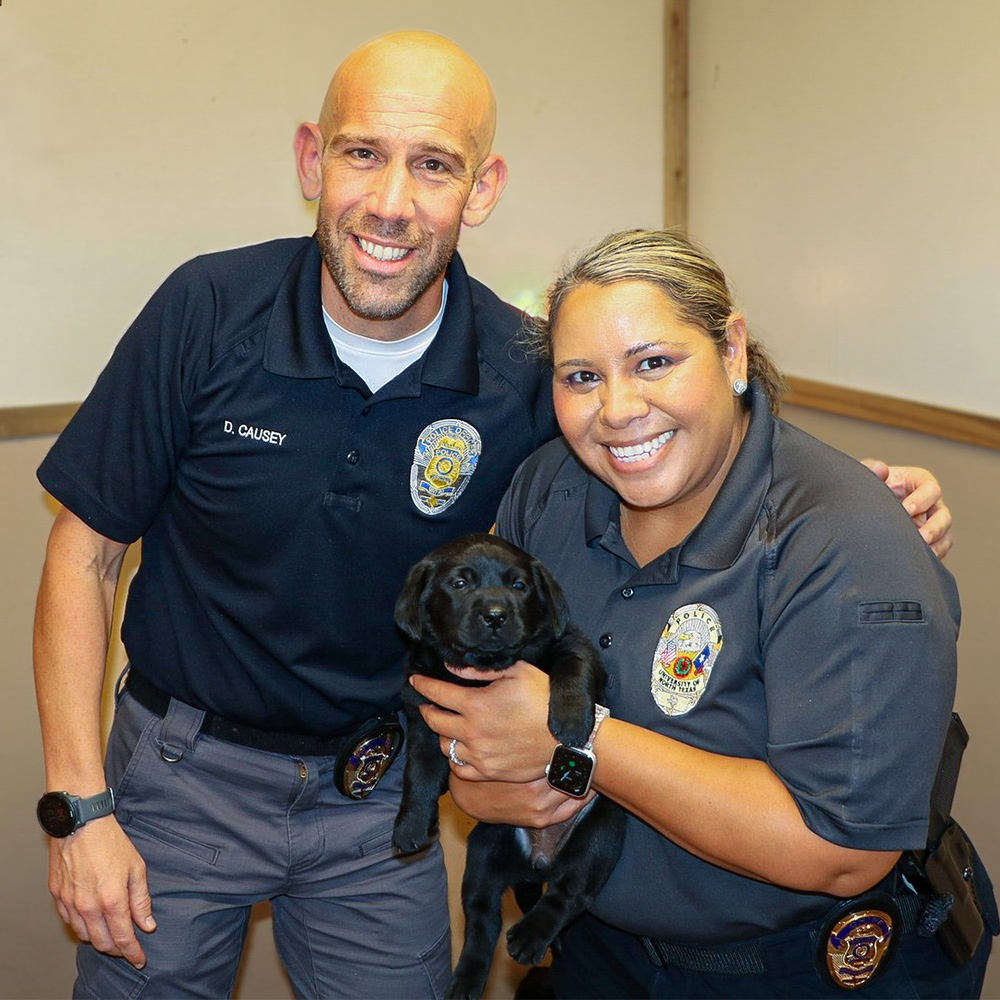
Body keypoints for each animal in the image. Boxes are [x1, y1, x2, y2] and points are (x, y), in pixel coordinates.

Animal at [392, 536, 620, 1000]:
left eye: (519, 585)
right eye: (460, 583)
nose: (496, 615)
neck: (482, 672)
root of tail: (540, 863)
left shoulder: (569, 639)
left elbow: (574, 666)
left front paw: (572, 720)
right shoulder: (422, 712)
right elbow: (418, 775)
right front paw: (410, 825)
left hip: (600, 832)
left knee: (569, 893)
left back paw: (532, 938)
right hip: (484, 850)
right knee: (482, 920)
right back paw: (466, 980)